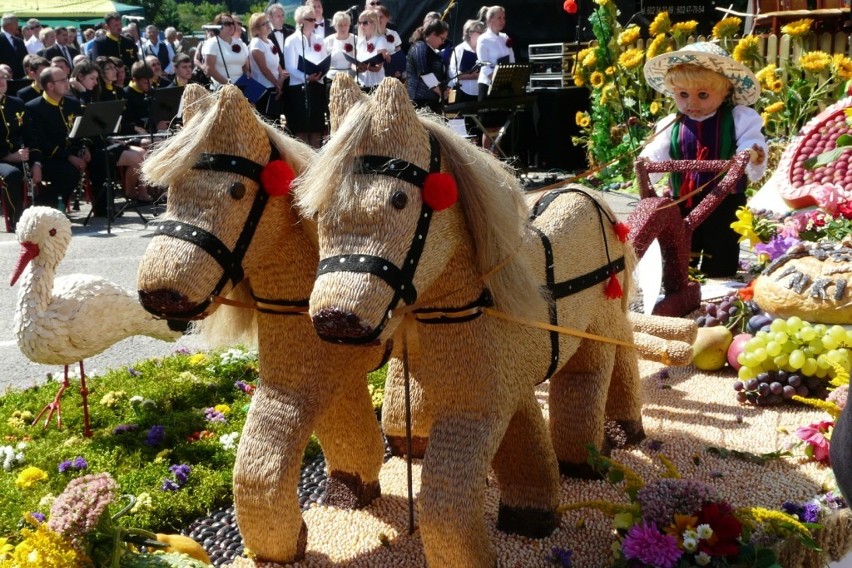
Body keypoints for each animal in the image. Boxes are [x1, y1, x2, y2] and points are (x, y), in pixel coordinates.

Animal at [136, 85, 390, 568]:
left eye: (237, 190)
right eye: (172, 189)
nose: (159, 294)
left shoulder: (312, 381)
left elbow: (266, 467)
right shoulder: (322, 378)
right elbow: (347, 439)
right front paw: (349, 497)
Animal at [296, 79, 644, 568]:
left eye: (399, 199)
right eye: (318, 211)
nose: (335, 320)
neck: (475, 305)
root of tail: (589, 195)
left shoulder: (478, 406)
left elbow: (446, 500)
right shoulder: (502, 390)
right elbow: (525, 446)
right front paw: (534, 510)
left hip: (601, 325)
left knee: (600, 368)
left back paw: (605, 444)